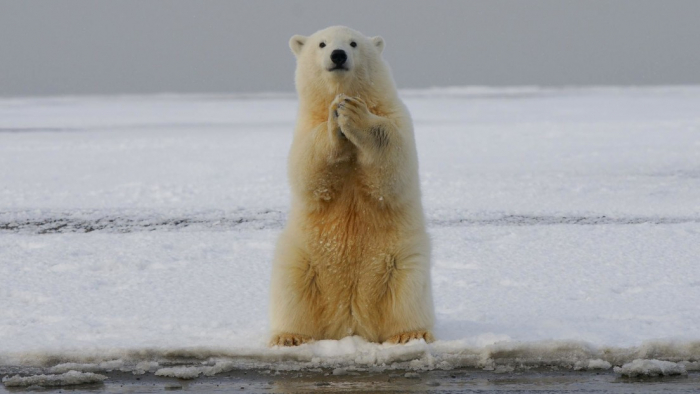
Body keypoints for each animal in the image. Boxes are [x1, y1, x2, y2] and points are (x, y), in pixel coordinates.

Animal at [268, 25, 432, 344]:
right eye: (322, 44)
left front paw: (354, 113)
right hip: (302, 259)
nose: (338, 54)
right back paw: (289, 336)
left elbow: (394, 164)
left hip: (401, 260)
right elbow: (307, 169)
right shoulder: (305, 125)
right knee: (292, 291)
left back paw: (409, 334)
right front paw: (336, 118)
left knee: (407, 294)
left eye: (354, 43)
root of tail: (350, 323)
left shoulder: (395, 116)